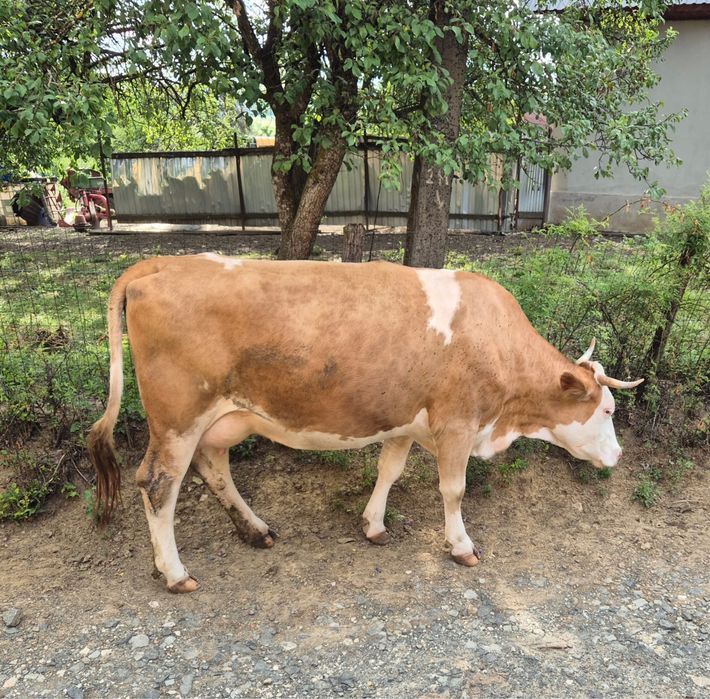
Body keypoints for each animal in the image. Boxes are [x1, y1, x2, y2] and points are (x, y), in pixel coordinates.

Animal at [87, 255, 643, 593]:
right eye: (608, 411)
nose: (617, 455)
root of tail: (166, 263)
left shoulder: (404, 424)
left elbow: (388, 471)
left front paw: (374, 525)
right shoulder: (457, 423)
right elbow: (453, 490)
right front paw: (461, 546)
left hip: (222, 418)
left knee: (214, 467)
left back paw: (255, 530)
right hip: (178, 419)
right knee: (157, 484)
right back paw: (175, 571)